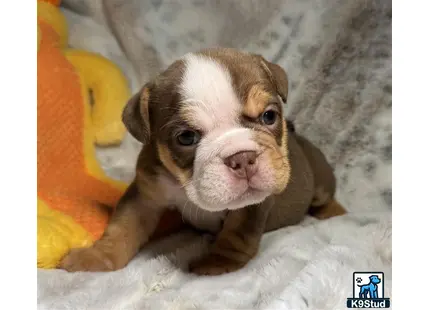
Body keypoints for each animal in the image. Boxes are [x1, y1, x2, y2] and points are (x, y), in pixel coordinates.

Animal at [59, 47, 346, 274]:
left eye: (269, 116)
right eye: (186, 137)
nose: (242, 157)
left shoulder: (252, 206)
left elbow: (236, 233)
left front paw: (218, 261)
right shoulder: (145, 194)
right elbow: (123, 227)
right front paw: (98, 257)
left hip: (320, 181)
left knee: (325, 197)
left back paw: (334, 212)